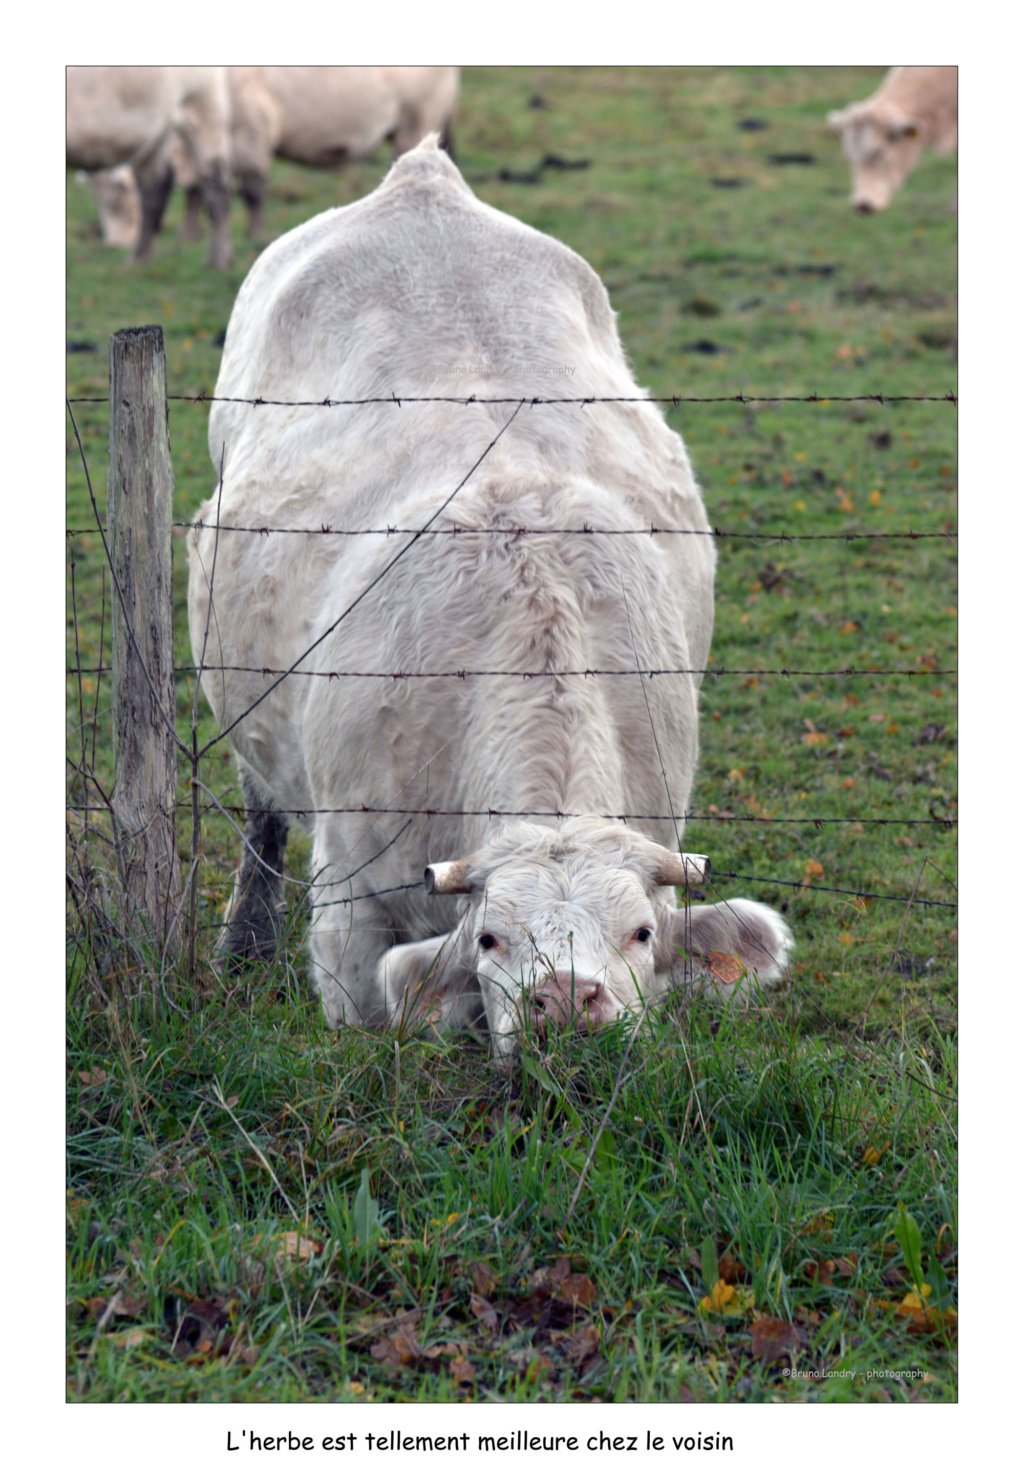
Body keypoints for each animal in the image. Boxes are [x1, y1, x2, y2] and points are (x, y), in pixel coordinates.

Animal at [69, 65, 232, 267]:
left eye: (118, 203)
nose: (113, 244)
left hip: (203, 109)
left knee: (215, 184)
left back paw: (218, 260)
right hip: (157, 129)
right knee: (157, 186)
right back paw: (139, 259)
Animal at [185, 135, 793, 1057]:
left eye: (641, 932)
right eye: (491, 937)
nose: (568, 998)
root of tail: (423, 179)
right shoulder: (350, 905)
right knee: (262, 820)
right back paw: (241, 946)